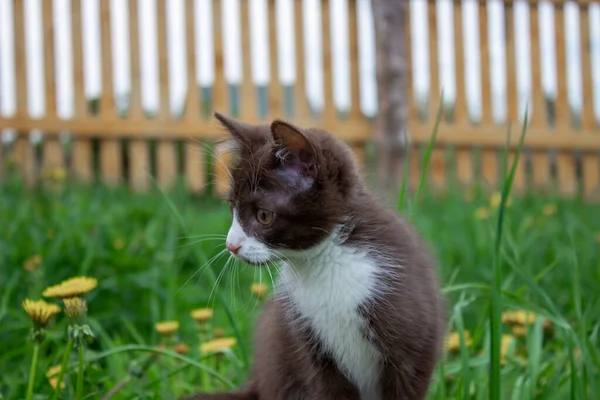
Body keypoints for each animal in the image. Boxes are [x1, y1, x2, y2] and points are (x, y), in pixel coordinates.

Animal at [186, 113, 446, 400]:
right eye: (232, 207)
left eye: (264, 215)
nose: (231, 245)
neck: (326, 261)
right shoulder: (311, 347)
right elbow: (328, 388)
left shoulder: (411, 335)